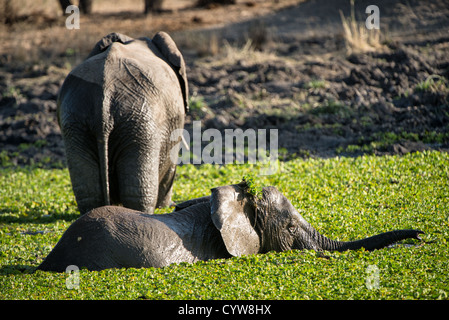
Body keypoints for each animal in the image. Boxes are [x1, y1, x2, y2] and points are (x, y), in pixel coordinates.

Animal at [57, 31, 188, 215]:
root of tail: (104, 98)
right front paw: (166, 206)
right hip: (139, 123)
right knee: (138, 193)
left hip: (77, 123)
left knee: (88, 192)